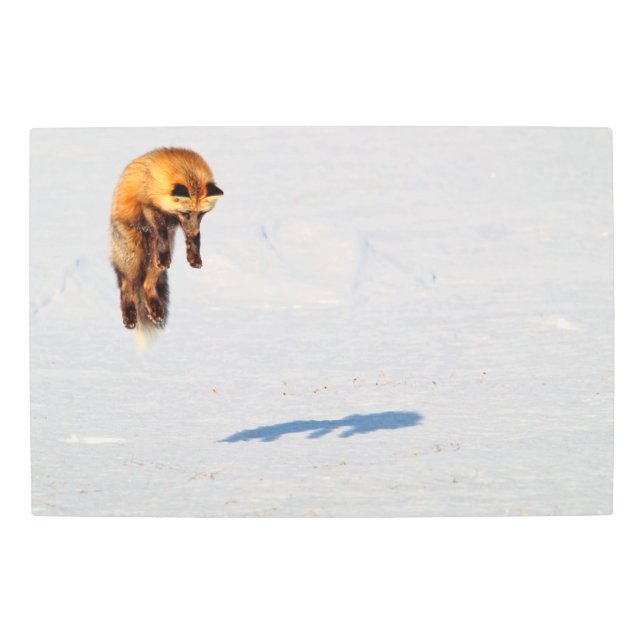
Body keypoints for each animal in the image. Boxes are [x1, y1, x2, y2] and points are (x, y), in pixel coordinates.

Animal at [110, 147, 223, 341]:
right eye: (186, 213)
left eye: (201, 214)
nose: (192, 232)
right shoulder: (149, 206)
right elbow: (160, 231)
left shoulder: (180, 224)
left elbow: (195, 239)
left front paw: (194, 256)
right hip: (134, 256)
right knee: (127, 286)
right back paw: (129, 314)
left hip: (153, 261)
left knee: (148, 284)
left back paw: (155, 308)